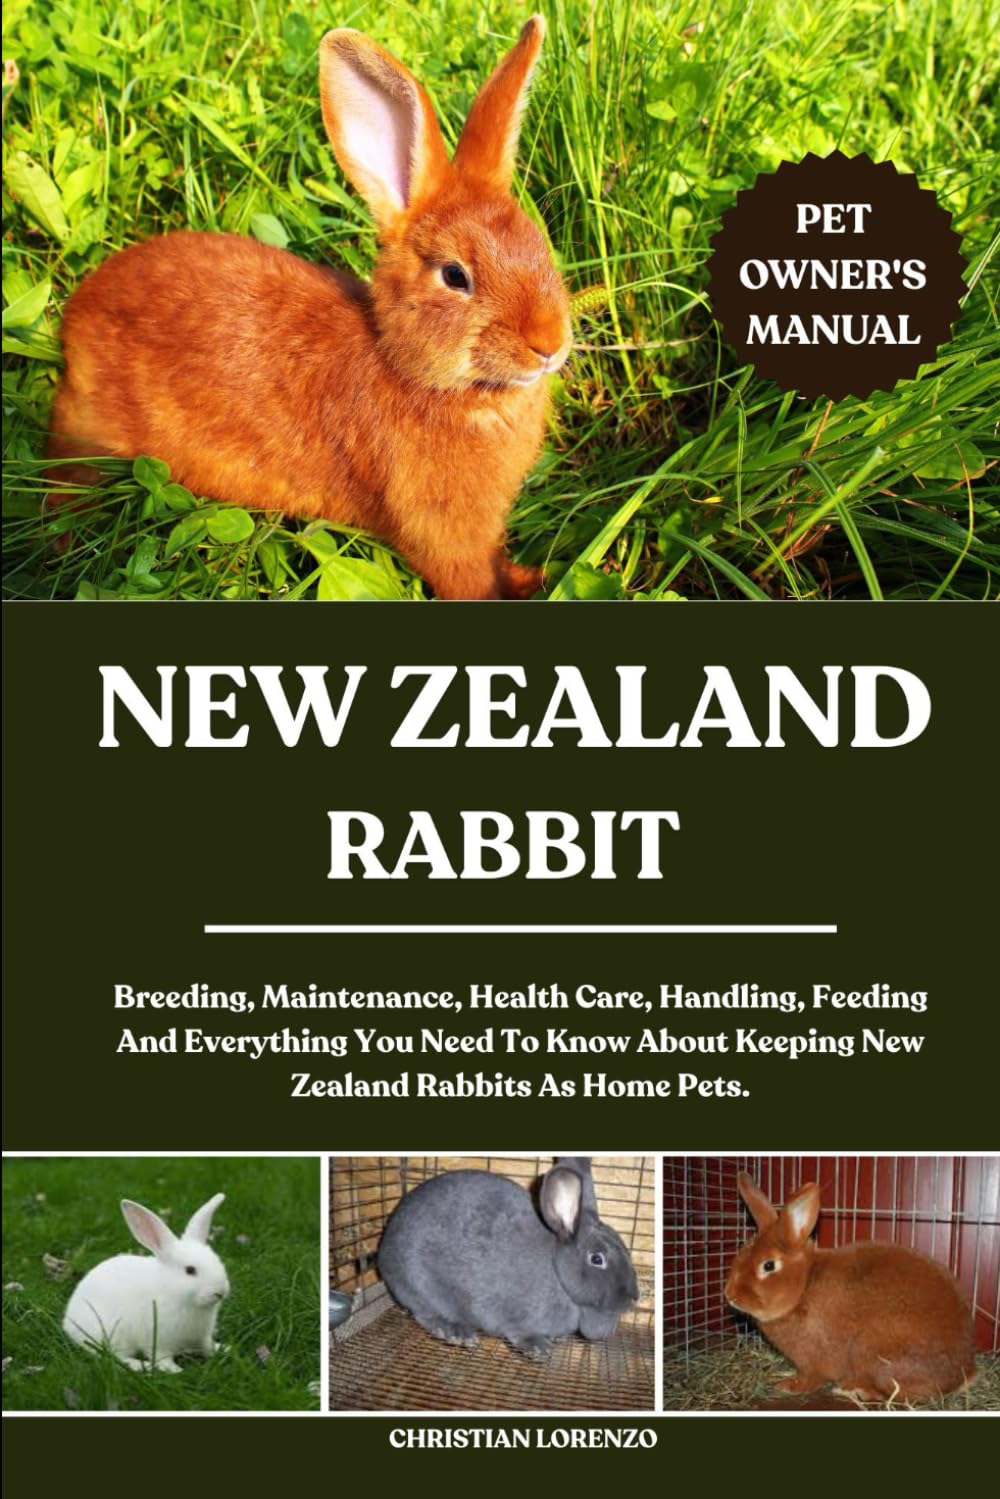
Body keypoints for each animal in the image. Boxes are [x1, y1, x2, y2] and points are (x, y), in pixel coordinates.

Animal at [44, 17, 571, 600]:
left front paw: (533, 576)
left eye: (539, 244)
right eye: (455, 276)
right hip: (89, 429)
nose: (549, 343)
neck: (410, 371)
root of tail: (82, 306)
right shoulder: (443, 532)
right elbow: (468, 577)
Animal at [63, 1192, 230, 1373]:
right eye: (190, 1270)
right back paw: (140, 1366)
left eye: (218, 1261)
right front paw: (174, 1370)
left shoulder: (202, 1335)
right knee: (112, 1356)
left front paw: (224, 1349)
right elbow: (161, 1356)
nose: (220, 1291)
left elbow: (207, 1346)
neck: (172, 1292)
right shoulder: (158, 1339)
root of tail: (68, 1322)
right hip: (112, 1334)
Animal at [377, 1156, 639, 1358]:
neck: (556, 1274)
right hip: (419, 1285)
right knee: (424, 1314)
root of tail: (383, 1252)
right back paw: (457, 1333)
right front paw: (539, 1348)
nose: (634, 1298)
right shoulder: (511, 1315)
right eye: (597, 1259)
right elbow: (518, 1333)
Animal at [725, 1173, 976, 1402]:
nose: (730, 1295)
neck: (804, 1286)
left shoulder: (812, 1360)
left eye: (768, 1265)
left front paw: (788, 1386)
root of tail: (964, 1371)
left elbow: (810, 1378)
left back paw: (854, 1390)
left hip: (873, 1354)